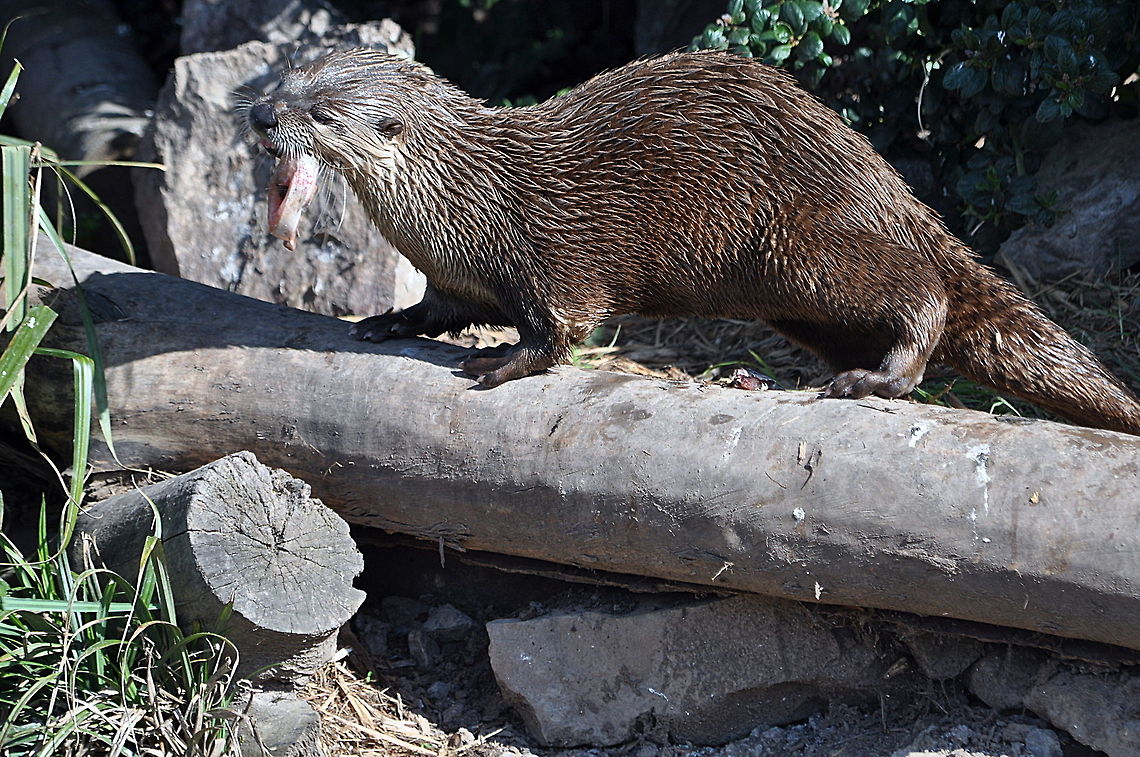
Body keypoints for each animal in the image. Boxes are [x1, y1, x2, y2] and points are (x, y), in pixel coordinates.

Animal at [248, 48, 1140, 436]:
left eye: (322, 111)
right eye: (282, 80)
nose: (260, 115)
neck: (462, 204)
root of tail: (880, 176)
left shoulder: (547, 252)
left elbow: (562, 327)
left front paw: (501, 361)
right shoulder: (456, 275)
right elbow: (440, 309)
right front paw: (388, 321)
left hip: (805, 243)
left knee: (924, 290)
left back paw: (877, 379)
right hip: (799, 300)